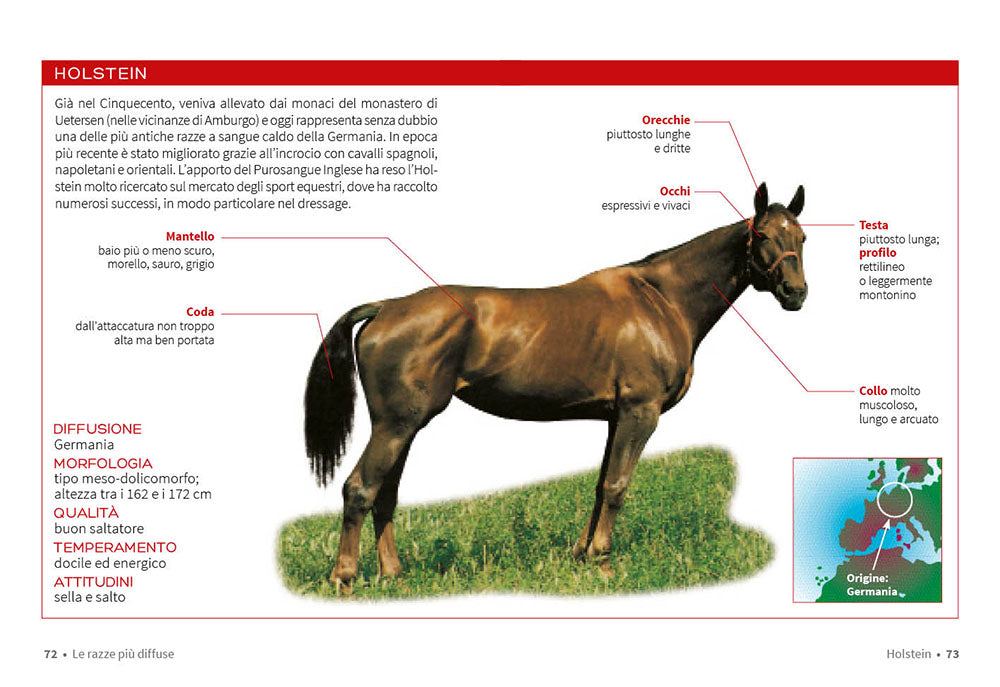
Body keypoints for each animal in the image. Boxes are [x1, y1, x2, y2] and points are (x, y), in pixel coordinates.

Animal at [304, 182, 808, 585]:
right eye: (762, 235)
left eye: (801, 237)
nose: (795, 293)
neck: (661, 301)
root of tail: (386, 307)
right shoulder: (639, 412)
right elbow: (617, 486)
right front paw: (603, 562)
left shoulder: (615, 417)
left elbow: (601, 483)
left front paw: (583, 556)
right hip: (396, 425)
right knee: (360, 489)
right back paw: (345, 577)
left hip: (403, 426)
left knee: (384, 494)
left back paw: (393, 575)